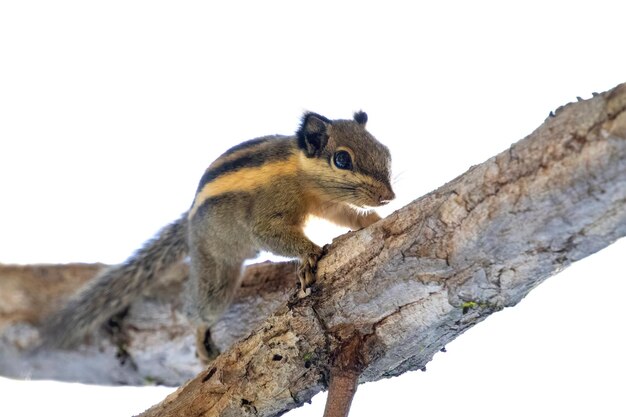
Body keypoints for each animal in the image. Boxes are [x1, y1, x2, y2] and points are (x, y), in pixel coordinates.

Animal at [41, 110, 392, 360]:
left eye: (385, 151)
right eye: (342, 159)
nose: (388, 196)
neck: (299, 172)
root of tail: (190, 225)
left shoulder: (323, 201)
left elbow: (341, 213)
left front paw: (370, 220)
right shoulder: (265, 216)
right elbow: (271, 236)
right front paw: (308, 254)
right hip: (215, 271)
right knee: (198, 309)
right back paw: (199, 334)